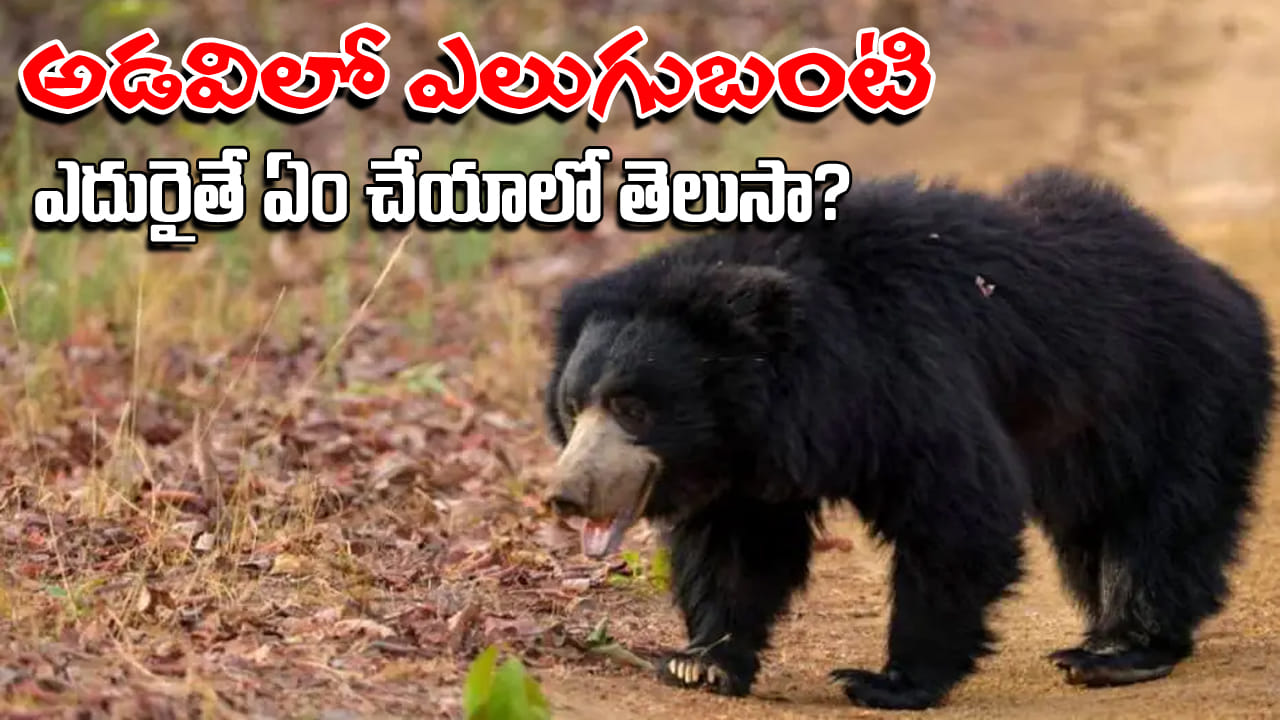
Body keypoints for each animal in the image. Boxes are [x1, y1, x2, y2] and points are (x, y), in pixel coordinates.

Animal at [540, 166, 1276, 710]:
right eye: (573, 408)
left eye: (632, 407)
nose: (565, 496)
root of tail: (1225, 286)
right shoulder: (747, 458)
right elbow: (739, 546)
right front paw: (702, 663)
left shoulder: (906, 372)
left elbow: (957, 507)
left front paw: (887, 681)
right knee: (1093, 531)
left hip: (1179, 396)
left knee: (1158, 521)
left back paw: (1117, 651)